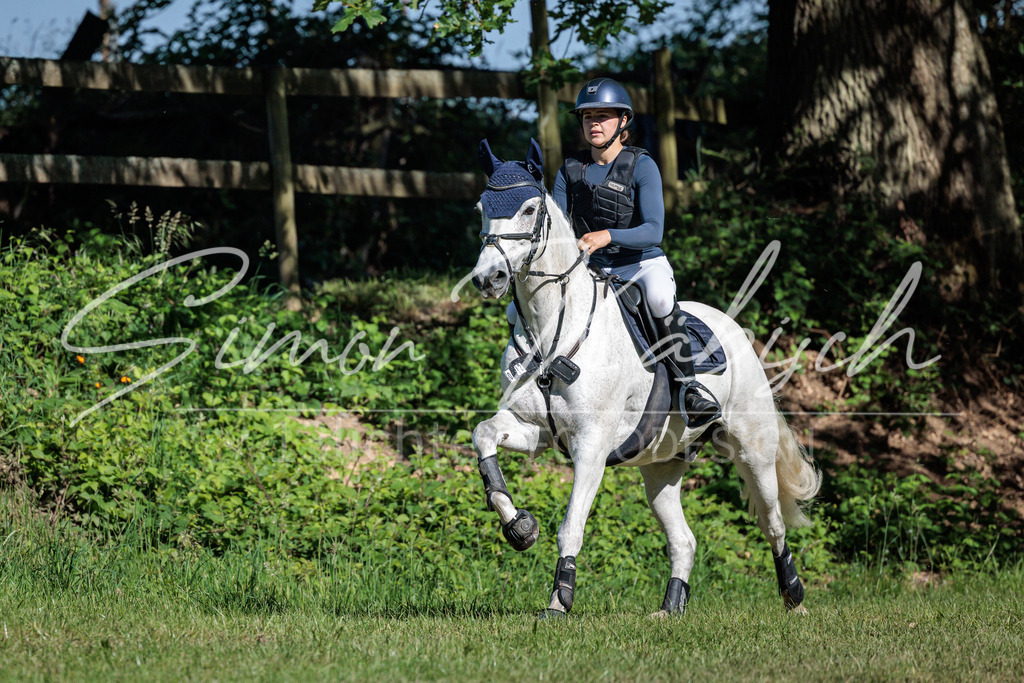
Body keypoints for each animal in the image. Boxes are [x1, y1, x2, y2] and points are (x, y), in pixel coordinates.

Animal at [468, 139, 822, 618]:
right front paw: (520, 527)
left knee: (774, 524)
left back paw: (794, 597)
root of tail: (733, 328)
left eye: (528, 209)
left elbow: (571, 526)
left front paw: (560, 602)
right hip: (661, 467)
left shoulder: (591, 447)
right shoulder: (533, 430)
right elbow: (483, 436)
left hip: (753, 451)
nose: (489, 278)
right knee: (684, 540)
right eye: (482, 208)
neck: (553, 328)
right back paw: (670, 608)